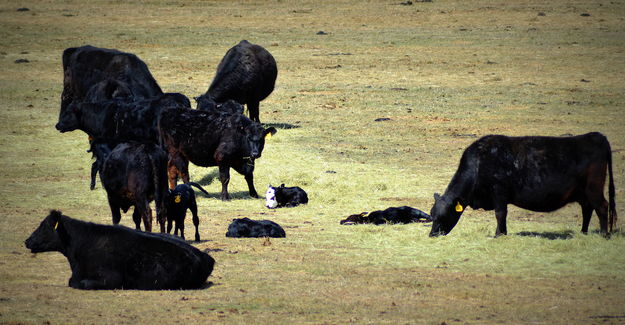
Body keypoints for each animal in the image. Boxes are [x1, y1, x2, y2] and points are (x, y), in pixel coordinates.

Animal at [428, 132, 616, 235]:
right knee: (587, 209)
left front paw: (499, 234)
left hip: (594, 189)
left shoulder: (499, 193)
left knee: (602, 207)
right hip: (583, 193)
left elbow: (500, 214)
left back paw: (604, 234)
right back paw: (583, 232)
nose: (432, 235)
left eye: (443, 215)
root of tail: (595, 136)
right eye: (432, 214)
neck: (480, 162)